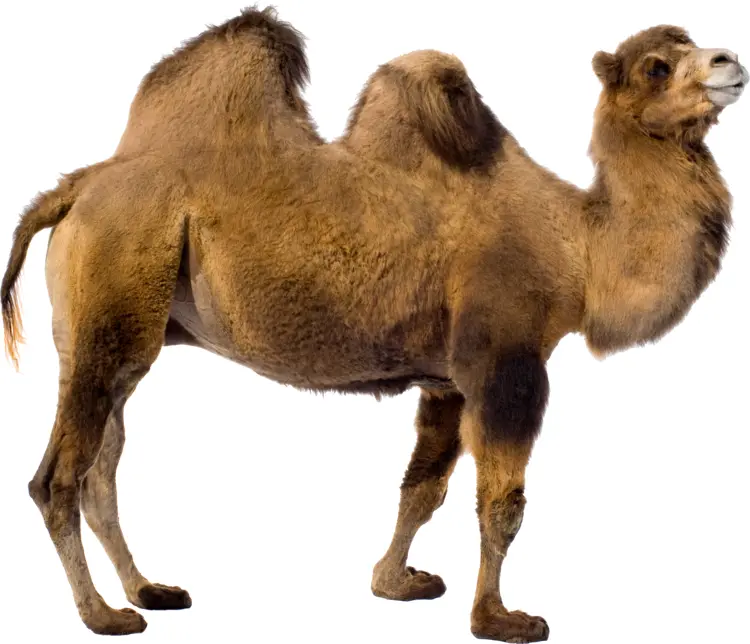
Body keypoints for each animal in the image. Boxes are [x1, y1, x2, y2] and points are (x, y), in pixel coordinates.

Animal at [2, 6, 746, 642]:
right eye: (656, 65)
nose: (729, 59)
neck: (579, 247)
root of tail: (72, 189)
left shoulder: (447, 378)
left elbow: (423, 489)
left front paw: (395, 582)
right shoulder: (506, 361)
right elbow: (502, 503)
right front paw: (498, 619)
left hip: (116, 333)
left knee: (102, 468)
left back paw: (148, 590)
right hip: (114, 286)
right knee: (57, 479)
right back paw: (103, 615)